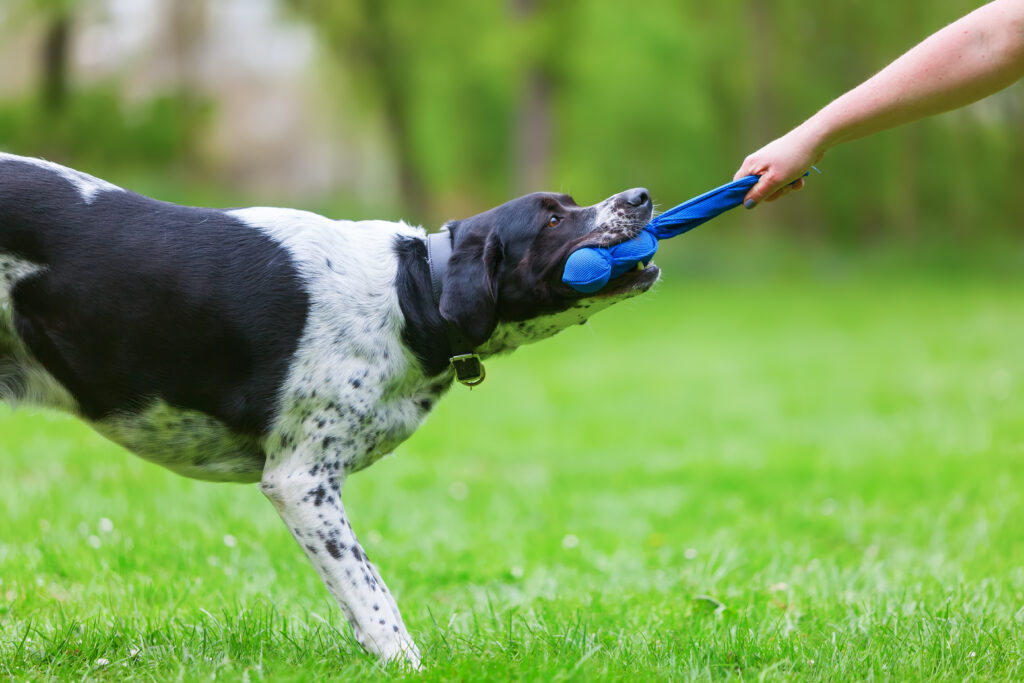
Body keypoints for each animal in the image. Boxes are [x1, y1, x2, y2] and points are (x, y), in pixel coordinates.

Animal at [0, 150, 655, 667]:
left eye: (569, 203)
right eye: (552, 218)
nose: (642, 196)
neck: (412, 290)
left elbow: (352, 597)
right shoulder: (301, 482)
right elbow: (372, 592)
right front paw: (407, 662)